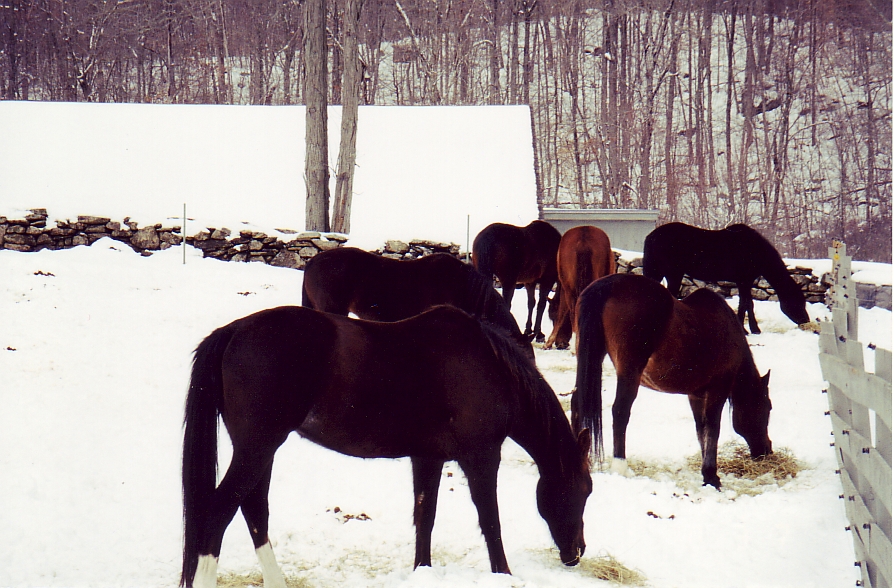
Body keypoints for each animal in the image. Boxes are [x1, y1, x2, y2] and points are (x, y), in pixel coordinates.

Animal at [180, 306, 596, 584]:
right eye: (583, 490)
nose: (577, 552)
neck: (489, 366)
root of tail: (233, 331)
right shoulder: (481, 459)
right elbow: (490, 521)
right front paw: (504, 575)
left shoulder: (428, 458)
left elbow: (424, 518)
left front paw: (422, 571)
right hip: (257, 449)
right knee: (218, 514)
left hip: (260, 451)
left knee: (254, 512)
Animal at [576, 274, 776, 490]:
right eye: (767, 408)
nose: (767, 449)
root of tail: (608, 285)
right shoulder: (718, 389)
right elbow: (713, 427)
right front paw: (711, 475)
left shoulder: (696, 395)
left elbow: (701, 428)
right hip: (629, 372)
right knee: (620, 411)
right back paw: (620, 466)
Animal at [644, 220, 812, 334]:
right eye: (798, 302)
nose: (805, 320)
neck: (755, 249)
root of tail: (651, 237)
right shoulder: (744, 281)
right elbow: (746, 304)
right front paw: (748, 330)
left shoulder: (745, 282)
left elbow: (747, 304)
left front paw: (751, 329)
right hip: (673, 274)